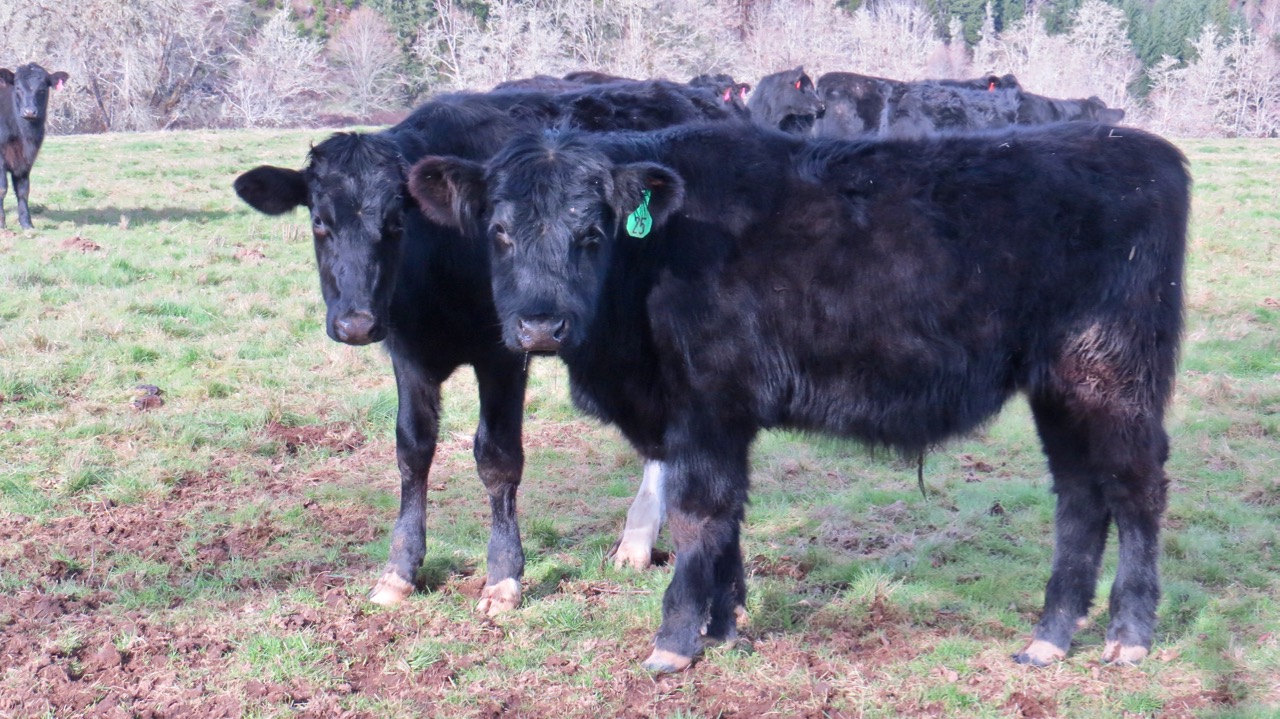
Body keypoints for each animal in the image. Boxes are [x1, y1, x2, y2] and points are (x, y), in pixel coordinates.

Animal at [0, 63, 68, 230]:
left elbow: (23, 190)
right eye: (18, 88)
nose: (29, 112)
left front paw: (27, 224)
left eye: (42, 89)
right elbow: (2, 188)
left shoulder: (26, 159)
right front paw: (1, 222)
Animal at [232, 82, 744, 614]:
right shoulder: (408, 354)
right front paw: (400, 569)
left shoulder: (505, 351)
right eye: (318, 222)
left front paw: (503, 575)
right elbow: (412, 449)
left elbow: (497, 457)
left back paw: (638, 540)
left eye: (395, 224)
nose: (355, 324)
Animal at [407, 121, 1189, 674]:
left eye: (592, 230)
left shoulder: (706, 407)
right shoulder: (717, 417)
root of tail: (1138, 146)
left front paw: (675, 639)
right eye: (499, 231)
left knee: (1137, 490)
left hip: (1111, 377)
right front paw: (724, 628)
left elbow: (698, 514)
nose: (540, 325)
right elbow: (728, 518)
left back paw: (1129, 636)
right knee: (1081, 497)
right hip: (1060, 389)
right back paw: (1049, 638)